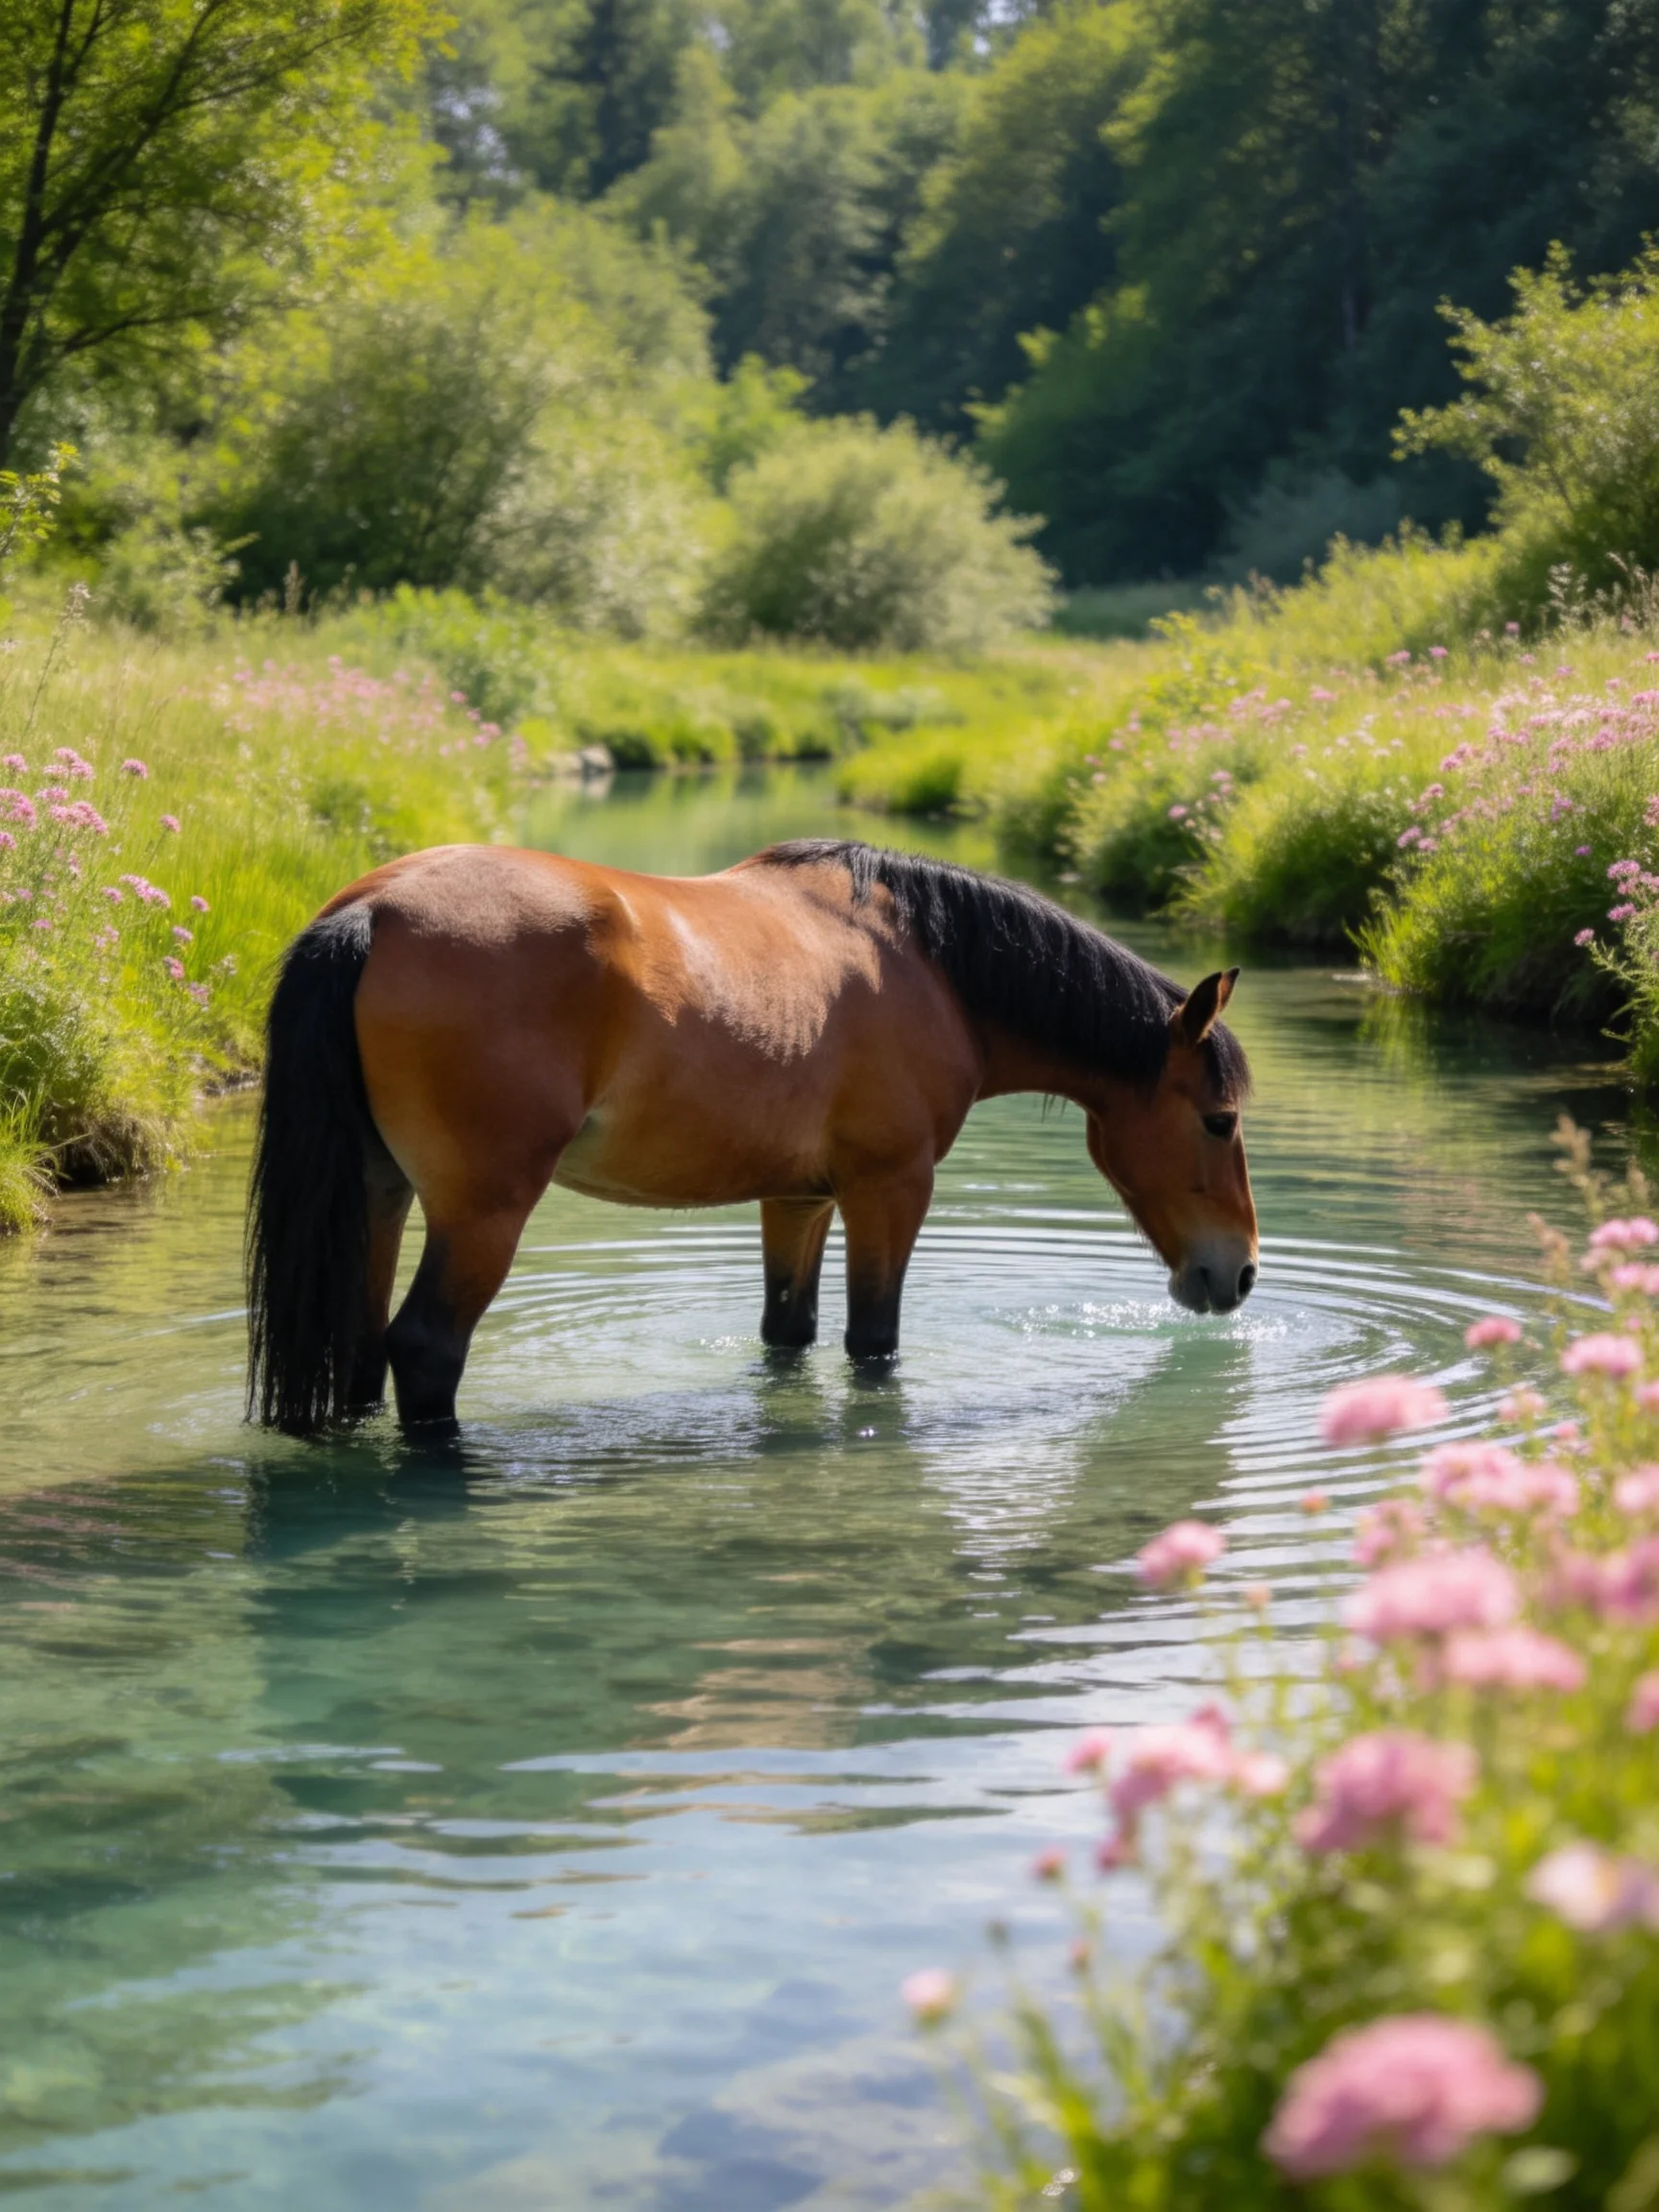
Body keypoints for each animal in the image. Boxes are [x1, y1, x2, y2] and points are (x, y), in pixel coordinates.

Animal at [247, 839, 1257, 1435]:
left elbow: (787, 1335)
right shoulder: (891, 1189)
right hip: (483, 1211)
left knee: (357, 1345)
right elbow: (872, 1344)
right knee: (423, 1347)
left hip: (378, 1197)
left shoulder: (799, 1196)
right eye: (1220, 1120)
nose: (1239, 1273)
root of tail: (371, 914)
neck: (927, 964)